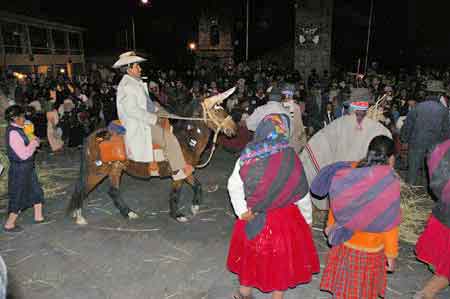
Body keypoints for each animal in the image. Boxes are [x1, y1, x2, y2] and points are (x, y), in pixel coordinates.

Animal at [67, 88, 237, 225]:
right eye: (216, 109)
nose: (233, 129)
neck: (186, 140)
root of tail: (94, 135)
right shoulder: (178, 173)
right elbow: (175, 194)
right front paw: (177, 215)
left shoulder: (186, 170)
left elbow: (198, 186)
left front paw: (194, 207)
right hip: (98, 171)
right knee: (83, 189)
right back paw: (79, 216)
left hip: (115, 168)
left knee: (113, 191)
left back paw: (128, 213)